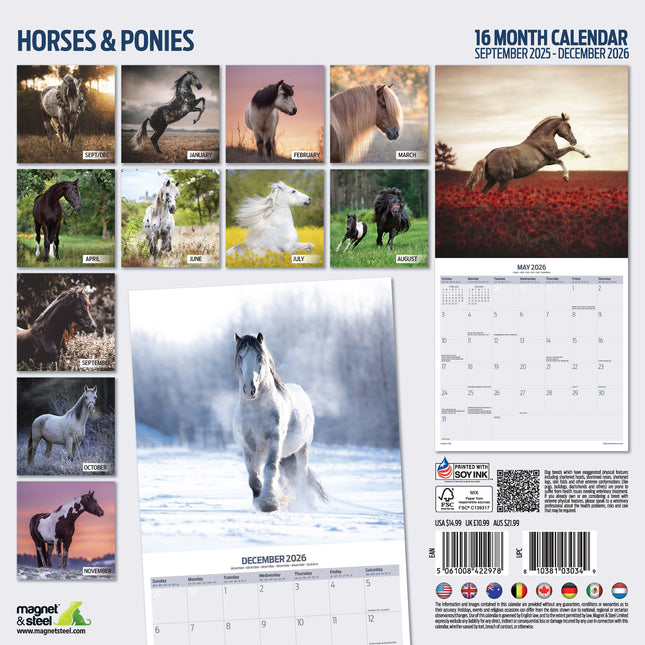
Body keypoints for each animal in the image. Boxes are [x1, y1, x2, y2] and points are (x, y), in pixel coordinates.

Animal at [233, 333, 328, 512]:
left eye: (259, 357)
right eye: (240, 357)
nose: (249, 389)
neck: (256, 410)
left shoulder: (274, 442)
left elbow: (269, 469)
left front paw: (269, 503)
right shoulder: (248, 446)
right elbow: (253, 476)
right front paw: (260, 500)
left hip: (302, 450)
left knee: (301, 476)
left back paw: (305, 504)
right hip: (285, 455)